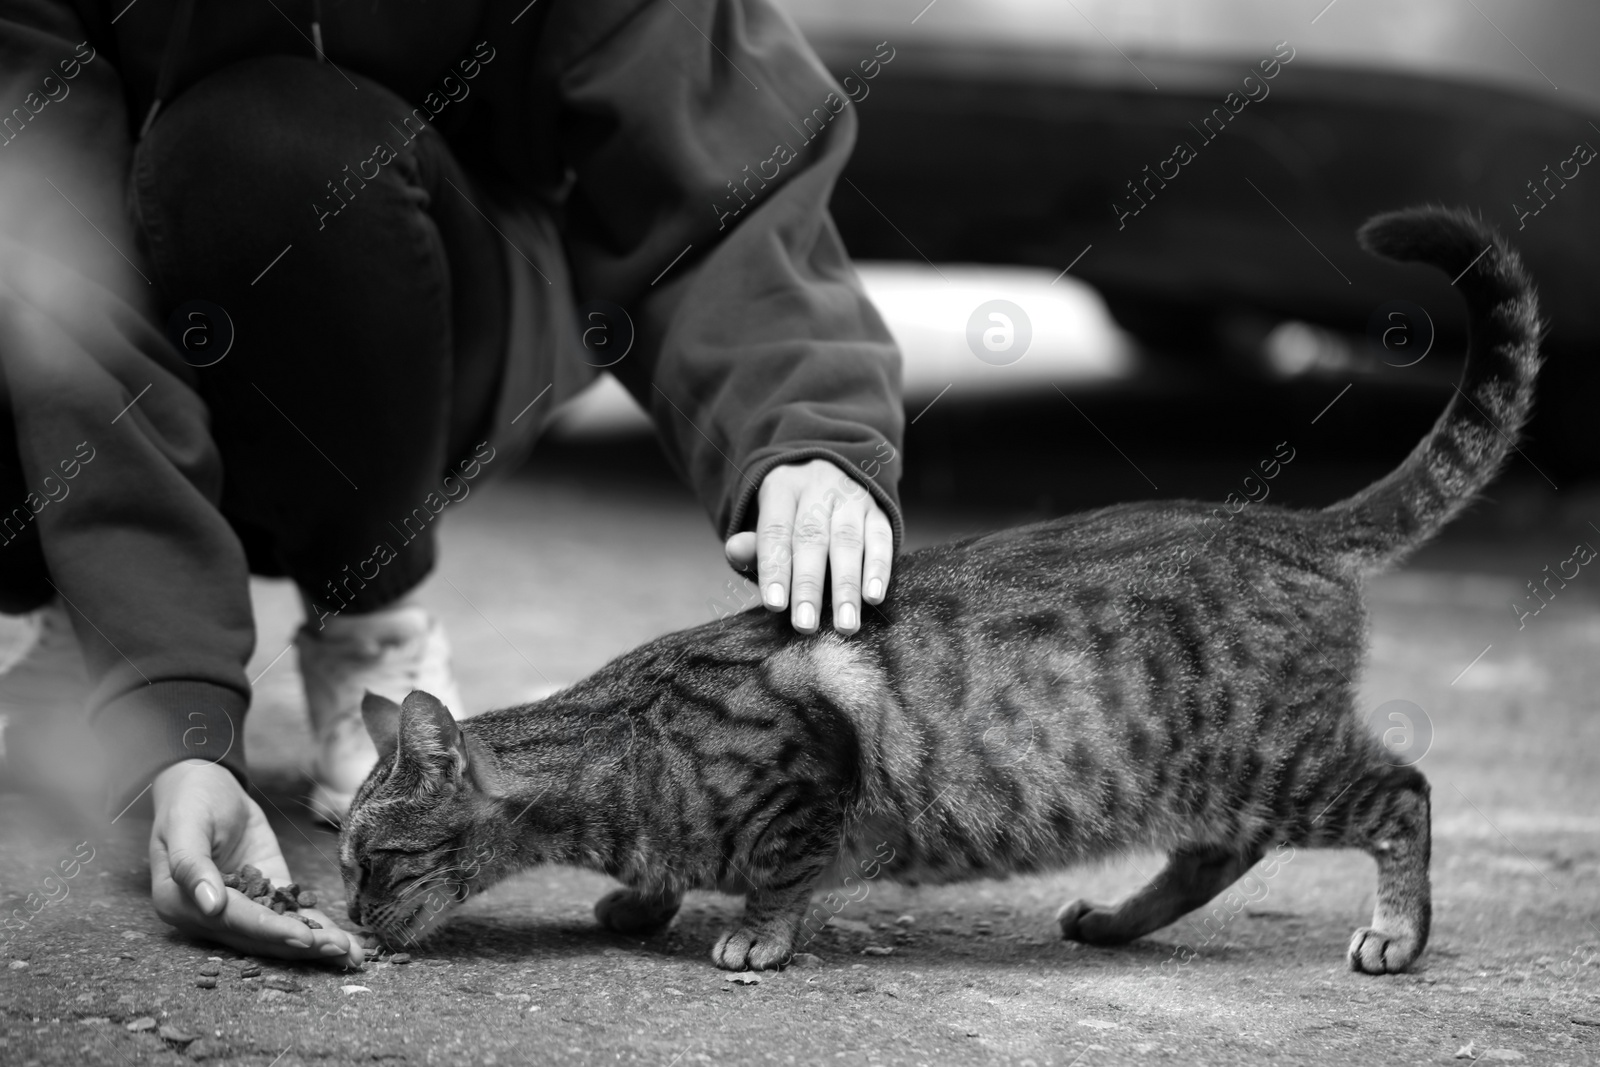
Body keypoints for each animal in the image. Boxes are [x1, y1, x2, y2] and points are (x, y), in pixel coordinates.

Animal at [337, 206, 1536, 979]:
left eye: (374, 860)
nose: (347, 917)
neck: (616, 754)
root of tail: (1284, 522)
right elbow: (668, 873)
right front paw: (642, 897)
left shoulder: (809, 765)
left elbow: (783, 872)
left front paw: (754, 931)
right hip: (1201, 776)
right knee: (1215, 851)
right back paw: (1116, 918)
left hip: (1267, 757)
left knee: (1403, 794)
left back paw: (1394, 932)